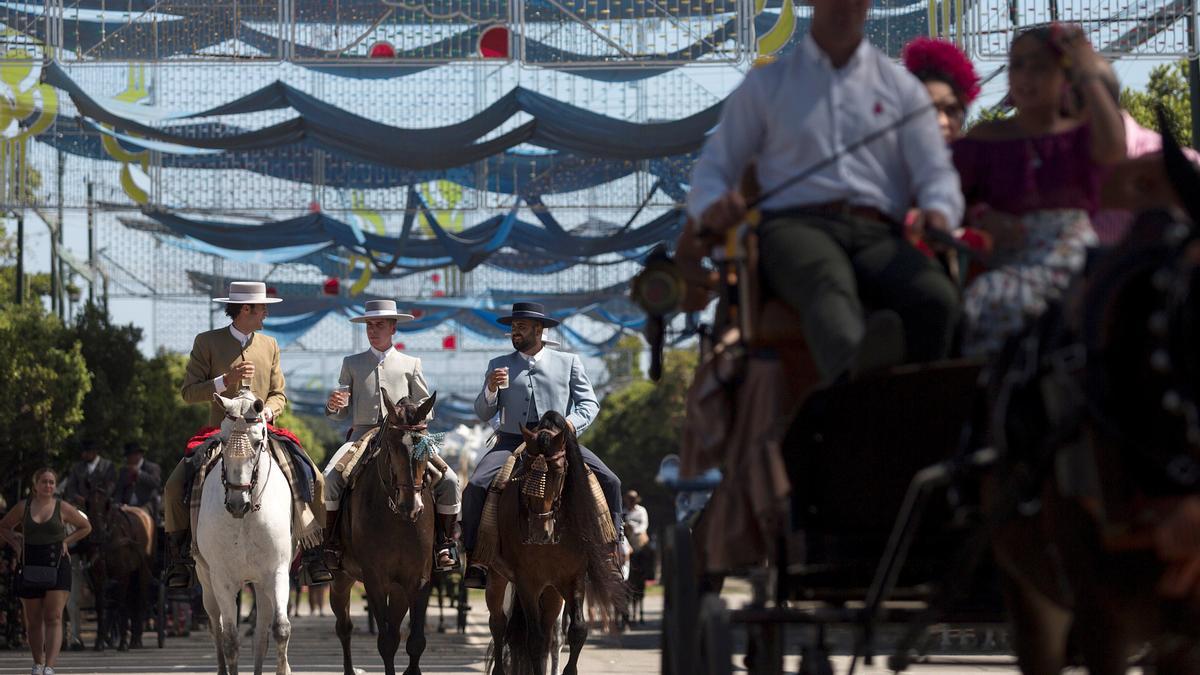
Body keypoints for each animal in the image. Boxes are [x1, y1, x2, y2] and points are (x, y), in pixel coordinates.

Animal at [84, 485, 154, 648]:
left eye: (107, 503)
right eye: (87, 503)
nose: (96, 536)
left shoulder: (122, 574)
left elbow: (122, 605)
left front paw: (122, 642)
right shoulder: (98, 576)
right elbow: (100, 605)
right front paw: (100, 642)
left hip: (143, 572)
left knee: (139, 601)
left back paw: (136, 640)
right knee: (132, 600)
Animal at [195, 389, 294, 672]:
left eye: (259, 440)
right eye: (222, 439)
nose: (237, 503)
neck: (245, 517)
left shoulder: (277, 571)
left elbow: (281, 629)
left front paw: (284, 669)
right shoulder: (221, 579)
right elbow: (229, 639)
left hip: (261, 583)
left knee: (261, 634)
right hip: (205, 579)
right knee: (216, 627)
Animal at [328, 389, 436, 672]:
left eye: (425, 447)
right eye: (392, 446)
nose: (411, 506)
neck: (398, 519)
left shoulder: (418, 580)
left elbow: (415, 641)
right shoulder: (375, 580)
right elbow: (386, 642)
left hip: (398, 588)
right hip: (341, 579)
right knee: (343, 627)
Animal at [484, 410, 628, 672]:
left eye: (561, 472)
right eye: (525, 470)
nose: (540, 532)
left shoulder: (574, 578)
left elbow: (577, 631)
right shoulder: (526, 582)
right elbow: (534, 639)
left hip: (552, 591)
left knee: (550, 632)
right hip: (498, 577)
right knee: (498, 624)